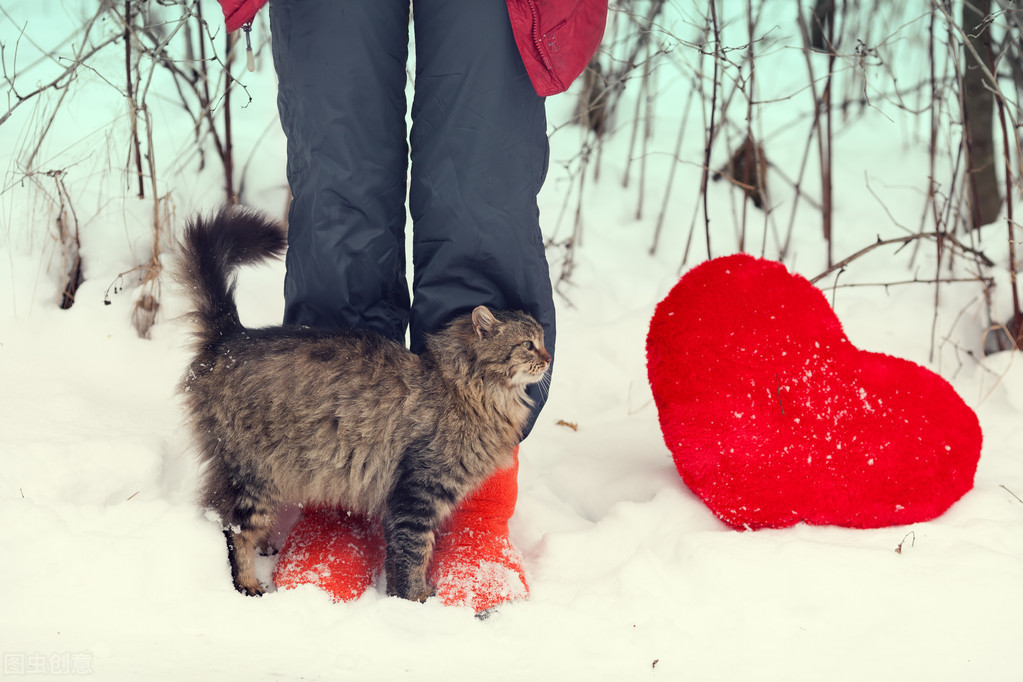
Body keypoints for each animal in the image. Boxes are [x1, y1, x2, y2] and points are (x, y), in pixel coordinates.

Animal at [175, 208, 552, 601]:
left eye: (541, 341)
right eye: (528, 345)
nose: (549, 357)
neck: (469, 388)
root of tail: (232, 337)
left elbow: (401, 556)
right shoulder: (417, 493)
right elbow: (414, 553)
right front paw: (417, 598)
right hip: (254, 474)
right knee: (233, 531)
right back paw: (248, 583)